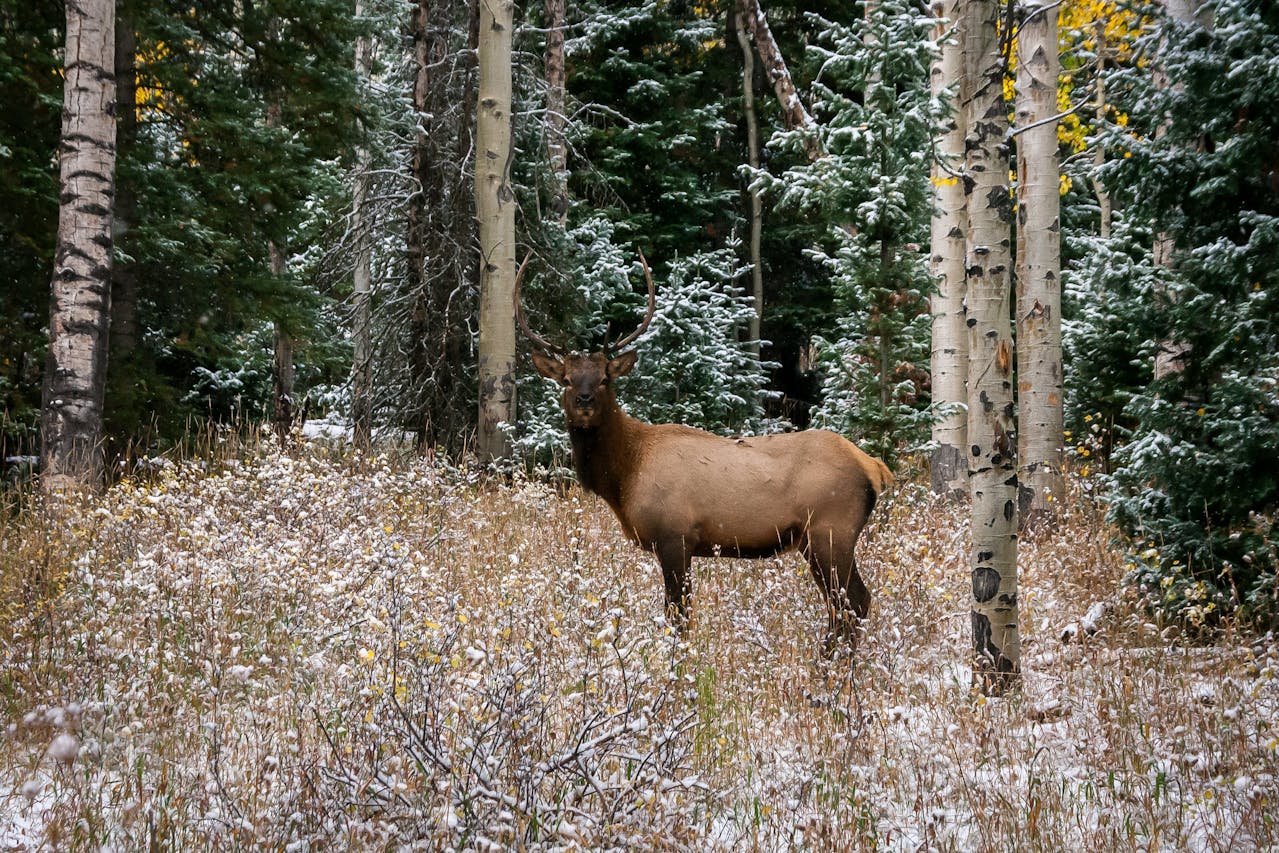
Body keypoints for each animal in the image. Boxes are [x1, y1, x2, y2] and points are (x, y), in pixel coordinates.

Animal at [516, 251, 893, 653]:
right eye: (566, 379)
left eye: (605, 378)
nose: (584, 401)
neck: (625, 474)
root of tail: (874, 468)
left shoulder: (675, 536)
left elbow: (678, 617)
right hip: (816, 539)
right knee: (846, 604)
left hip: (832, 530)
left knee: (854, 601)